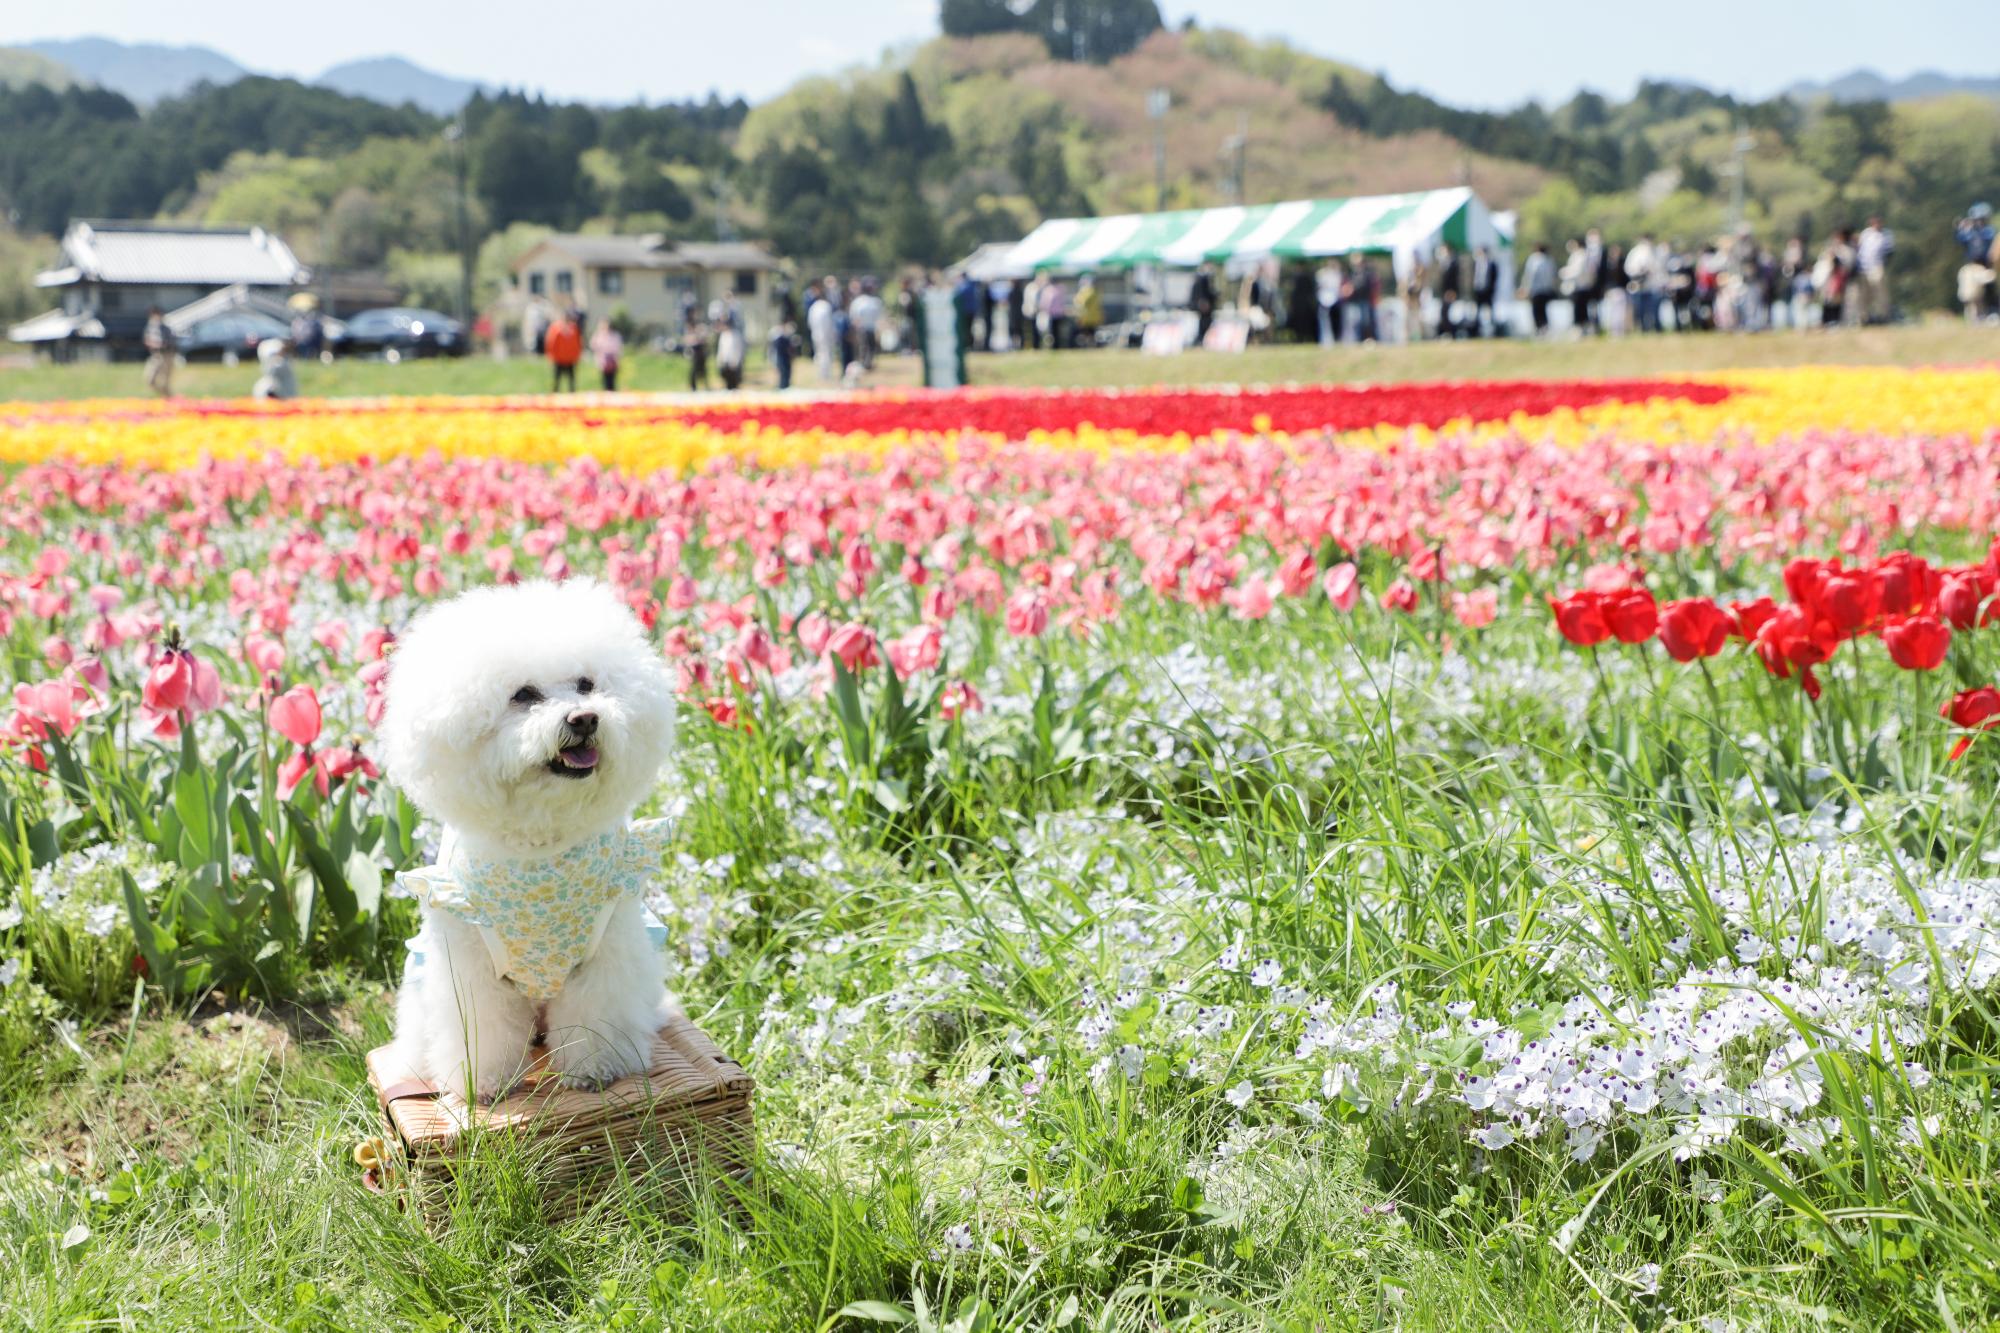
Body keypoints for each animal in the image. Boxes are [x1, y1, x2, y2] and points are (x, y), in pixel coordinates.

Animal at [376, 576, 680, 1096]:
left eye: (586, 684)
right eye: (524, 695)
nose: (585, 718)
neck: (541, 843)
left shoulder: (606, 952)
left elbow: (597, 1016)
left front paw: (596, 1068)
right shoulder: (471, 965)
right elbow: (481, 1026)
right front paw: (485, 1082)